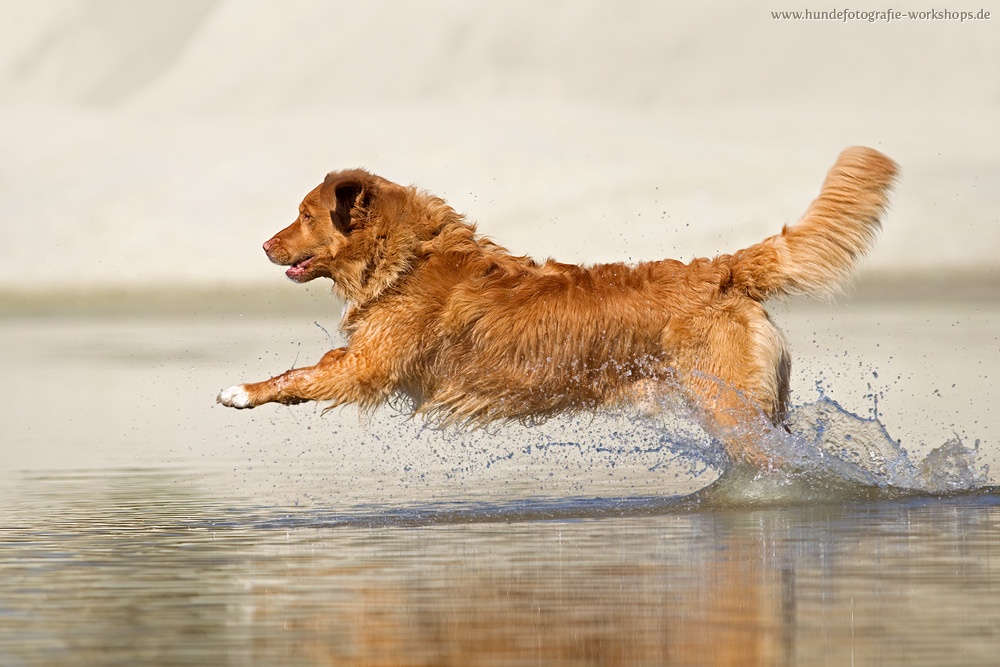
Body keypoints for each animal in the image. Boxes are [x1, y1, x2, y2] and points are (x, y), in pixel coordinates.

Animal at [219, 146, 900, 470]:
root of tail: (723, 270)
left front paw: (241, 392)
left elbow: (299, 375)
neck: (407, 258)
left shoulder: (366, 365)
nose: (264, 245)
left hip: (728, 405)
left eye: (304, 215)